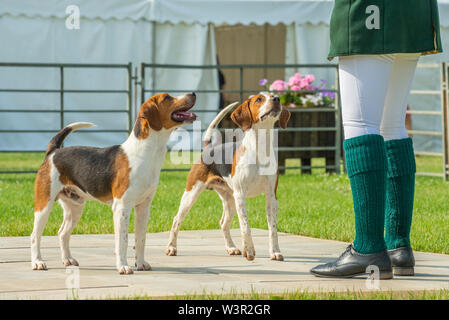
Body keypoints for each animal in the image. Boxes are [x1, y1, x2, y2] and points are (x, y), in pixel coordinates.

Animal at [32, 92, 197, 276]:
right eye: (167, 98)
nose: (192, 94)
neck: (145, 153)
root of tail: (53, 152)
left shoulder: (143, 208)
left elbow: (140, 239)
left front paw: (140, 263)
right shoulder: (121, 208)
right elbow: (122, 241)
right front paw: (123, 266)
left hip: (75, 207)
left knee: (62, 233)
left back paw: (68, 260)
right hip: (44, 206)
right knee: (34, 236)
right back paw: (37, 262)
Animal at [166, 92, 288, 260]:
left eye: (274, 95)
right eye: (259, 99)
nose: (276, 99)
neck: (259, 150)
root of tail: (209, 148)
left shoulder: (271, 197)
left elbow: (273, 229)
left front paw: (275, 251)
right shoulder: (241, 195)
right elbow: (245, 226)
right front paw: (249, 250)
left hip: (230, 199)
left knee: (223, 223)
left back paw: (231, 247)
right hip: (191, 195)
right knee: (176, 220)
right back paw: (171, 247)